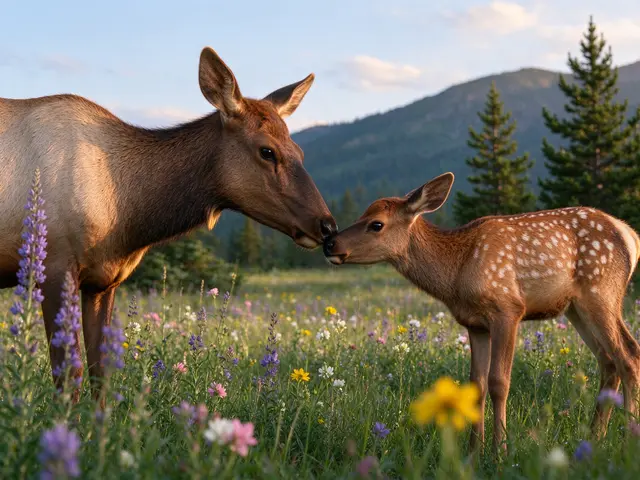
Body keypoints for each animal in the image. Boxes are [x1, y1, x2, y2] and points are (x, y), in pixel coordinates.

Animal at [0, 46, 337, 404]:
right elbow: (68, 379)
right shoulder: (53, 267)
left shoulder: (102, 283)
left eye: (299, 150)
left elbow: (100, 375)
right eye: (267, 151)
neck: (127, 217)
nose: (327, 226)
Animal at [323, 172, 640, 453]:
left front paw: (500, 451)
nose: (329, 243)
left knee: (628, 355)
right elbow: (477, 384)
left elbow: (499, 382)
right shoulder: (474, 324)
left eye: (376, 224)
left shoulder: (508, 309)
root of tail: (630, 234)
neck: (456, 275)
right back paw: (594, 438)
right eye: (361, 215)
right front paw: (474, 451)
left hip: (601, 292)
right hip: (576, 308)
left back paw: (627, 438)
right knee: (608, 361)